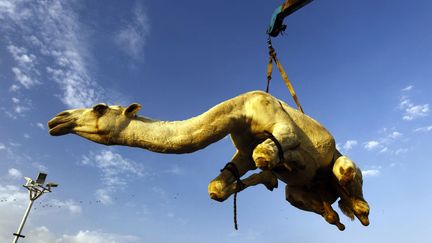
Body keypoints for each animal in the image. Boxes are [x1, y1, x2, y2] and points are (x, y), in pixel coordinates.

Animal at [48, 90, 372, 230]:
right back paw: (335, 216)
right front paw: (261, 180)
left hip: (341, 165)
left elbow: (266, 153)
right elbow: (218, 187)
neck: (241, 110)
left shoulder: (283, 127)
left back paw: (359, 209)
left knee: (347, 176)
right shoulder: (242, 149)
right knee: (317, 206)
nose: (57, 120)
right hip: (298, 194)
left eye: (99, 107)